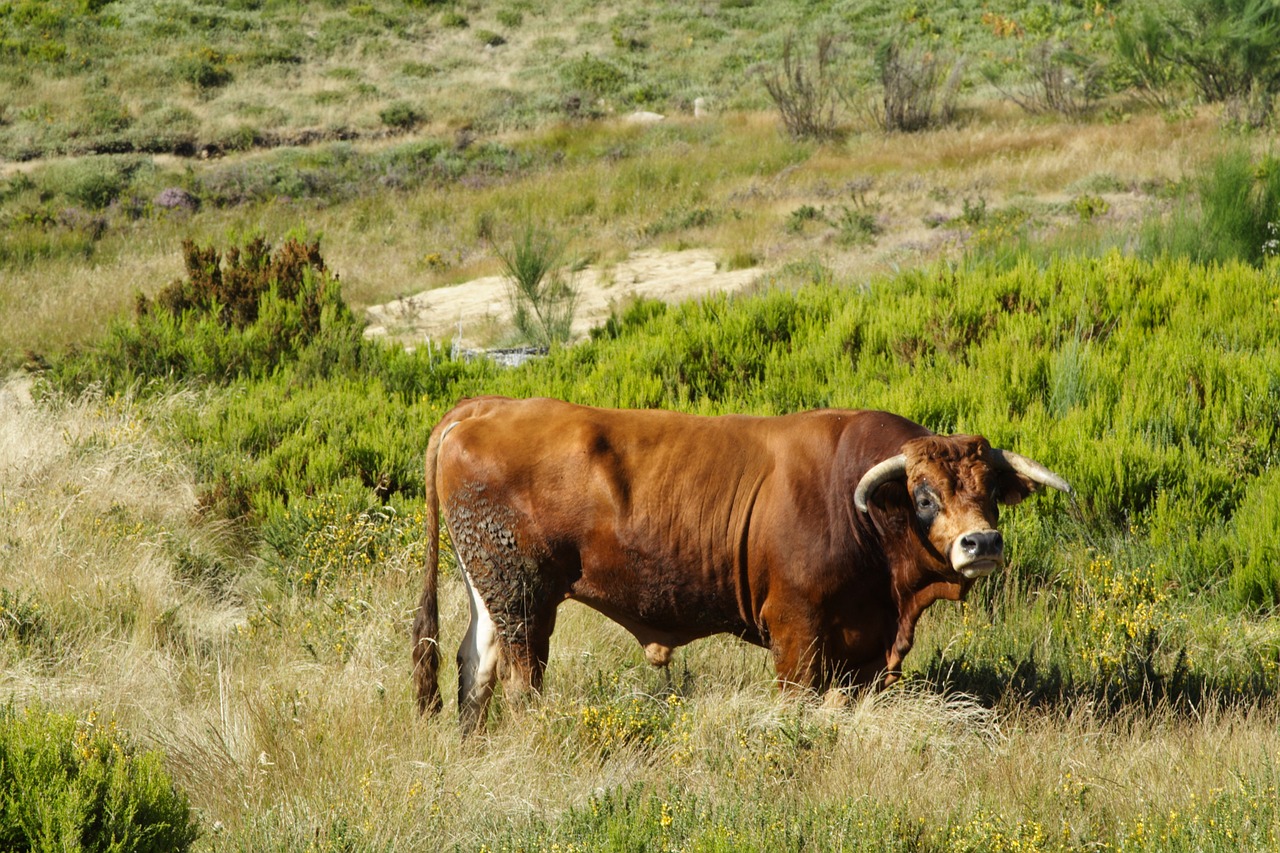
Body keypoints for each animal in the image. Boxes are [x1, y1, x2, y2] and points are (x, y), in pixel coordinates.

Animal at [409, 394, 1070, 732]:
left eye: (990, 489)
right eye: (925, 495)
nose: (981, 543)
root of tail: (484, 407)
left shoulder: (862, 648)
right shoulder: (797, 631)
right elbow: (798, 702)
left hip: (491, 588)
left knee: (475, 663)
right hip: (523, 598)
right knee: (520, 678)